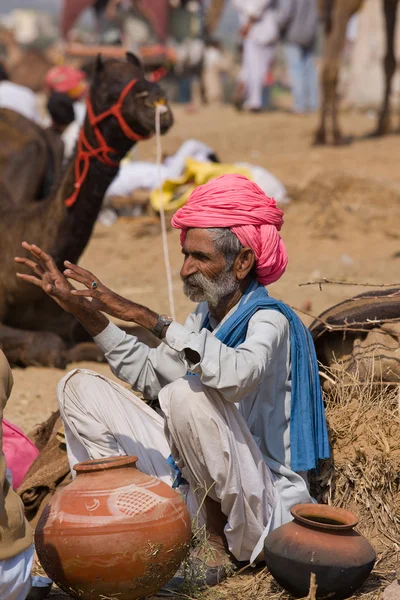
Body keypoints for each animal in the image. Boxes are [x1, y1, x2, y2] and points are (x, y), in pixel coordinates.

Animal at [316, 0, 400, 145]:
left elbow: (389, 60)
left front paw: (383, 126)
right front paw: (383, 125)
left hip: (325, 9)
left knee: (326, 65)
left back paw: (322, 135)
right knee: (331, 65)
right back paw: (336, 134)